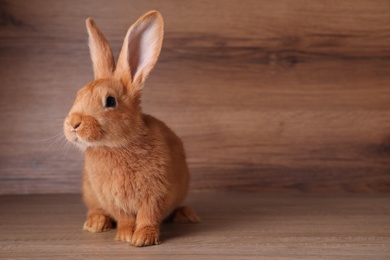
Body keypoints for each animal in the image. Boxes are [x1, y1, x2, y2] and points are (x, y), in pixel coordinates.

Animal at [63, 9, 200, 246]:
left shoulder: (154, 195)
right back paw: (95, 223)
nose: (73, 124)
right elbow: (125, 217)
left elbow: (147, 216)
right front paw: (125, 236)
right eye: (79, 94)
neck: (117, 145)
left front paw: (143, 239)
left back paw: (186, 215)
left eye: (110, 101)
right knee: (97, 209)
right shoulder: (114, 199)